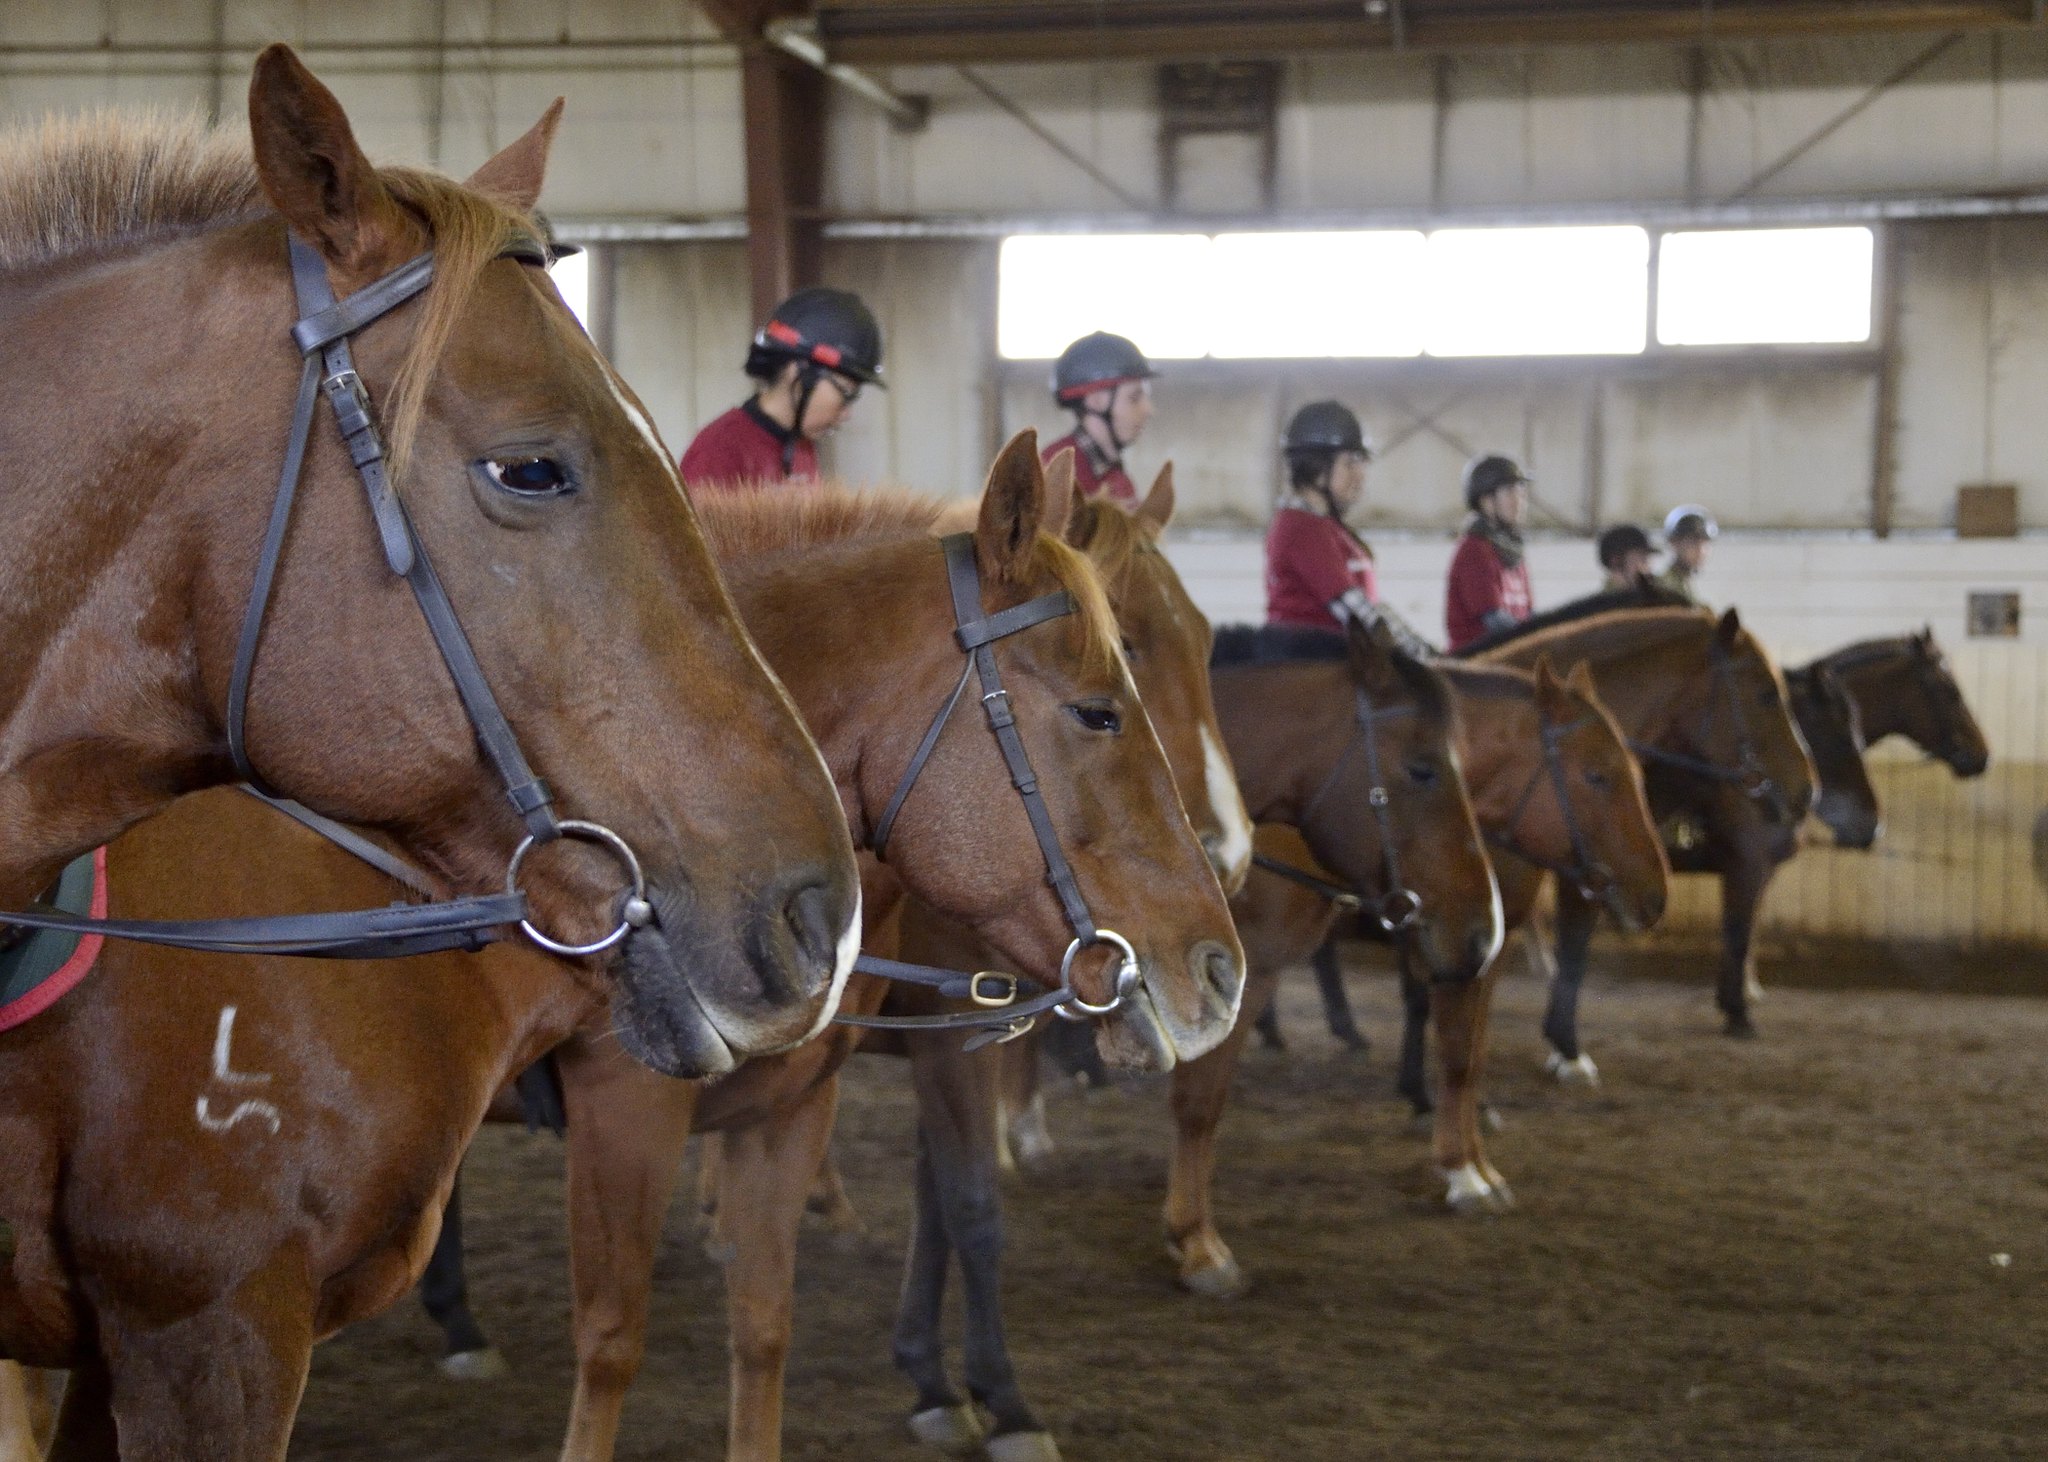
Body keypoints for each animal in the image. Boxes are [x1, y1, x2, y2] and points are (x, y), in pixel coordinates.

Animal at [417, 444, 1245, 1457]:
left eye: (1207, 641)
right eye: (1101, 706)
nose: (1220, 965)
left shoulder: (811, 1095)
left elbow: (775, 1318)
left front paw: (942, 1382)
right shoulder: (631, 1107)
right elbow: (613, 1343)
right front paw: (996, 1400)